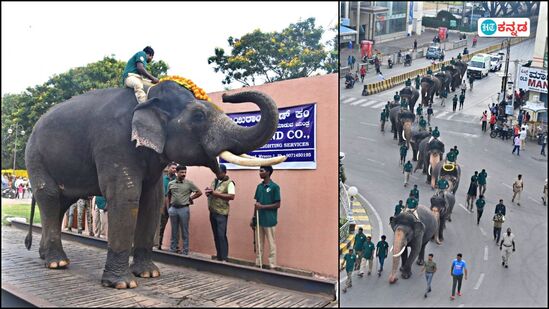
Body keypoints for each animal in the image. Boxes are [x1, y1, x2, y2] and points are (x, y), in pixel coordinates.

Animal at [25, 80, 282, 288]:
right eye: (198, 116)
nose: (229, 96)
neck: (148, 96)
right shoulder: (113, 142)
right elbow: (126, 196)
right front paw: (123, 284)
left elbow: (152, 201)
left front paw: (149, 274)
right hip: (35, 157)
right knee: (49, 197)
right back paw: (57, 263)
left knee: (60, 204)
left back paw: (47, 257)